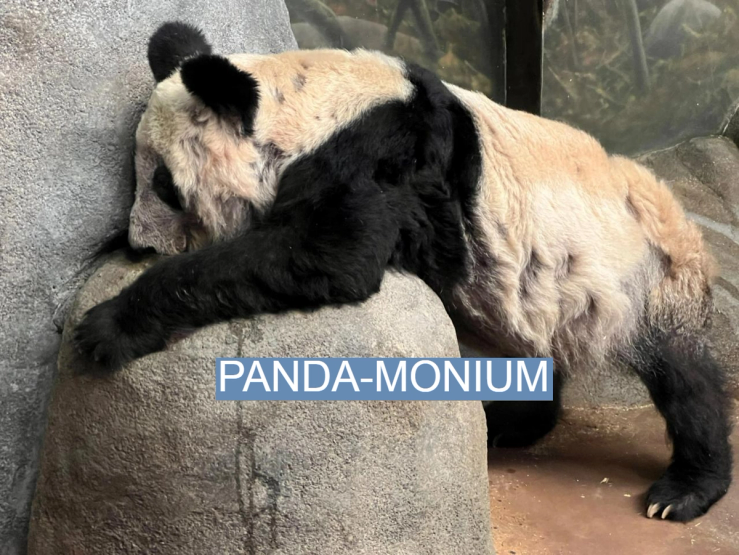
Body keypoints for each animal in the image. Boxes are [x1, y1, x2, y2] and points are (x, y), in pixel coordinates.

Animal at [75, 21, 732, 522]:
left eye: (164, 183)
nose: (139, 242)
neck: (310, 102)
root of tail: (680, 218)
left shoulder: (382, 157)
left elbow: (330, 254)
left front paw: (106, 326)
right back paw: (508, 425)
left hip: (644, 277)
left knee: (686, 380)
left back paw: (684, 491)